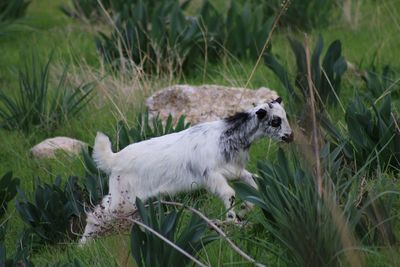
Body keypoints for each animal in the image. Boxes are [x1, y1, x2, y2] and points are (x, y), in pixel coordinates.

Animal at [80, 97, 294, 244]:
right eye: (275, 121)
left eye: (285, 117)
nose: (290, 137)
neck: (227, 137)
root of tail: (114, 158)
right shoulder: (211, 176)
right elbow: (230, 194)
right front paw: (234, 222)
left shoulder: (235, 171)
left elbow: (253, 187)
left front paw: (242, 212)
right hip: (124, 200)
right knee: (97, 216)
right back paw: (83, 245)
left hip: (121, 197)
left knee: (99, 211)